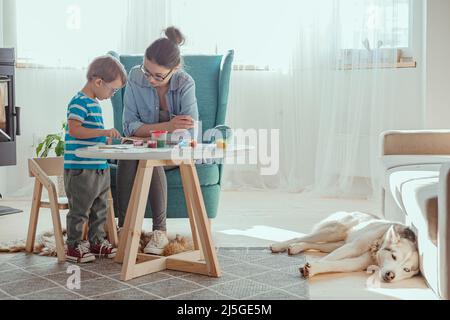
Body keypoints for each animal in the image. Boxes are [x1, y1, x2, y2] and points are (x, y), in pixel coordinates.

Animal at [270, 212, 422, 282]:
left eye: (406, 270)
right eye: (393, 256)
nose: (390, 276)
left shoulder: (357, 263)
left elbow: (336, 264)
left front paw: (313, 269)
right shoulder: (353, 248)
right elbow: (327, 259)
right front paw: (309, 267)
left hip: (338, 243)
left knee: (315, 245)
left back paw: (296, 247)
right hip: (334, 232)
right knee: (304, 237)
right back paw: (278, 245)